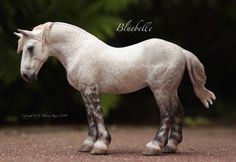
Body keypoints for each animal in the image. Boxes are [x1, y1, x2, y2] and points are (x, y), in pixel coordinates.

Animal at [13, 22, 215, 155]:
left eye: (30, 48)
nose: (26, 76)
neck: (79, 50)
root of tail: (181, 51)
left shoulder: (91, 90)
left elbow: (98, 115)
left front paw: (101, 145)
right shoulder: (84, 91)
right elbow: (90, 117)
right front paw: (88, 144)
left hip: (161, 90)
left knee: (168, 113)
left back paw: (153, 147)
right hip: (170, 89)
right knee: (179, 110)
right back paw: (170, 146)